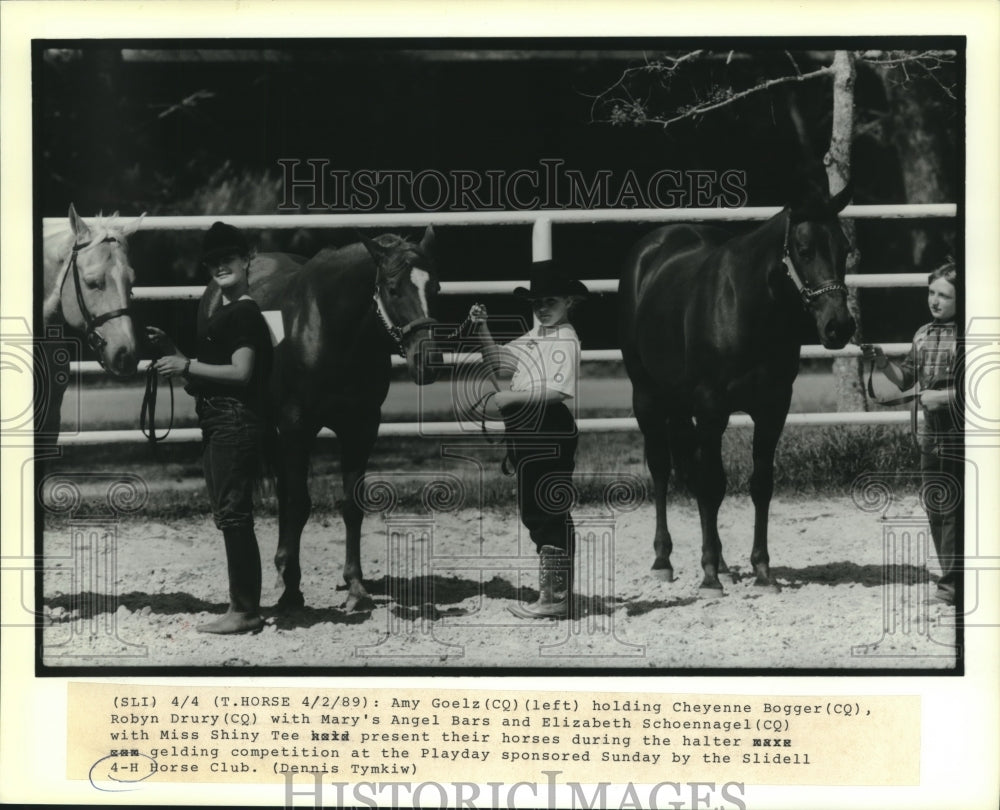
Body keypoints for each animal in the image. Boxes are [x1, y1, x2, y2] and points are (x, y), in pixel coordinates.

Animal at [197, 224, 440, 608]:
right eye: (393, 289)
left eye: (436, 288)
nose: (428, 362)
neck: (330, 327)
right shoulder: (297, 427)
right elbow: (299, 504)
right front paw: (292, 591)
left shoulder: (361, 428)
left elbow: (351, 505)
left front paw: (355, 586)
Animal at [620, 186, 856, 592]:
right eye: (804, 249)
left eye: (844, 249)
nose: (838, 326)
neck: (747, 308)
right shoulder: (711, 409)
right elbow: (712, 484)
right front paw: (709, 575)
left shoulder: (773, 409)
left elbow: (760, 485)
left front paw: (761, 571)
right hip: (647, 396)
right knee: (662, 469)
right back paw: (664, 559)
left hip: (680, 405)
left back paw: (723, 562)